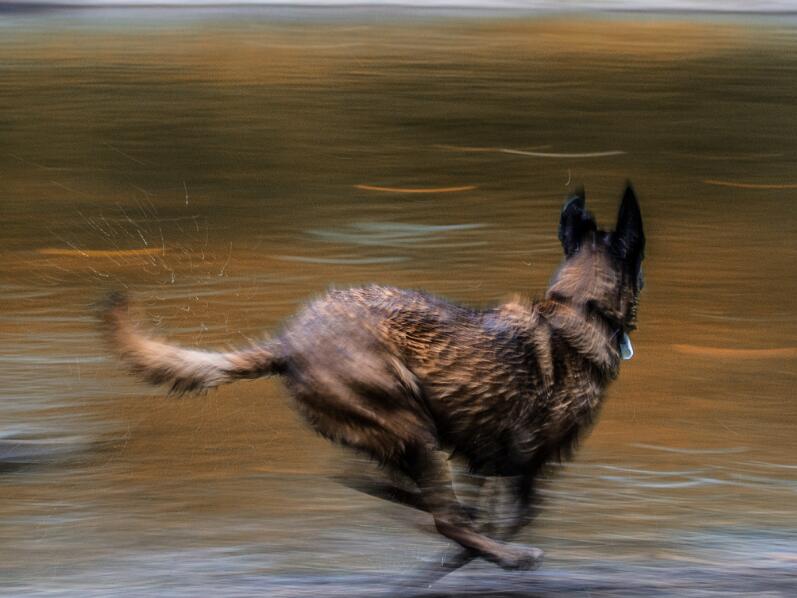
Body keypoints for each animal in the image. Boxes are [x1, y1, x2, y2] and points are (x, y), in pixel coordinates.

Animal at [101, 183, 645, 574]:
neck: (578, 309)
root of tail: (288, 343)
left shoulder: (492, 460)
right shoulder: (527, 463)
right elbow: (517, 514)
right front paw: (491, 550)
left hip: (397, 430)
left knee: (385, 487)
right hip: (411, 422)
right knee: (440, 516)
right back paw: (503, 555)